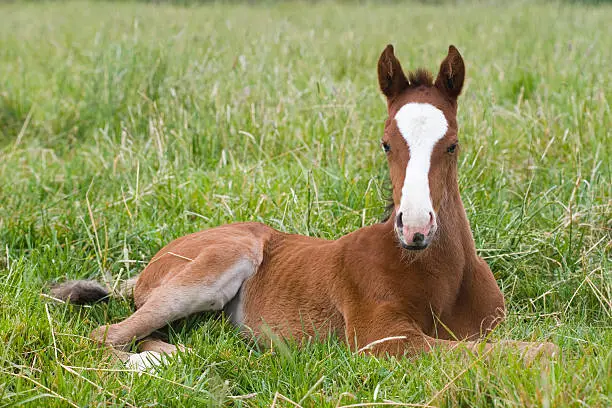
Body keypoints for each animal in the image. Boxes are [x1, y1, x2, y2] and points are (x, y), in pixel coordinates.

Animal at [53, 44, 560, 366]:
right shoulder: (383, 340)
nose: (415, 228)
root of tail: (149, 266)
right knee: (104, 336)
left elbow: (521, 347)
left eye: (452, 144)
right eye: (386, 143)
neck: (442, 279)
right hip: (220, 262)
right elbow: (533, 351)